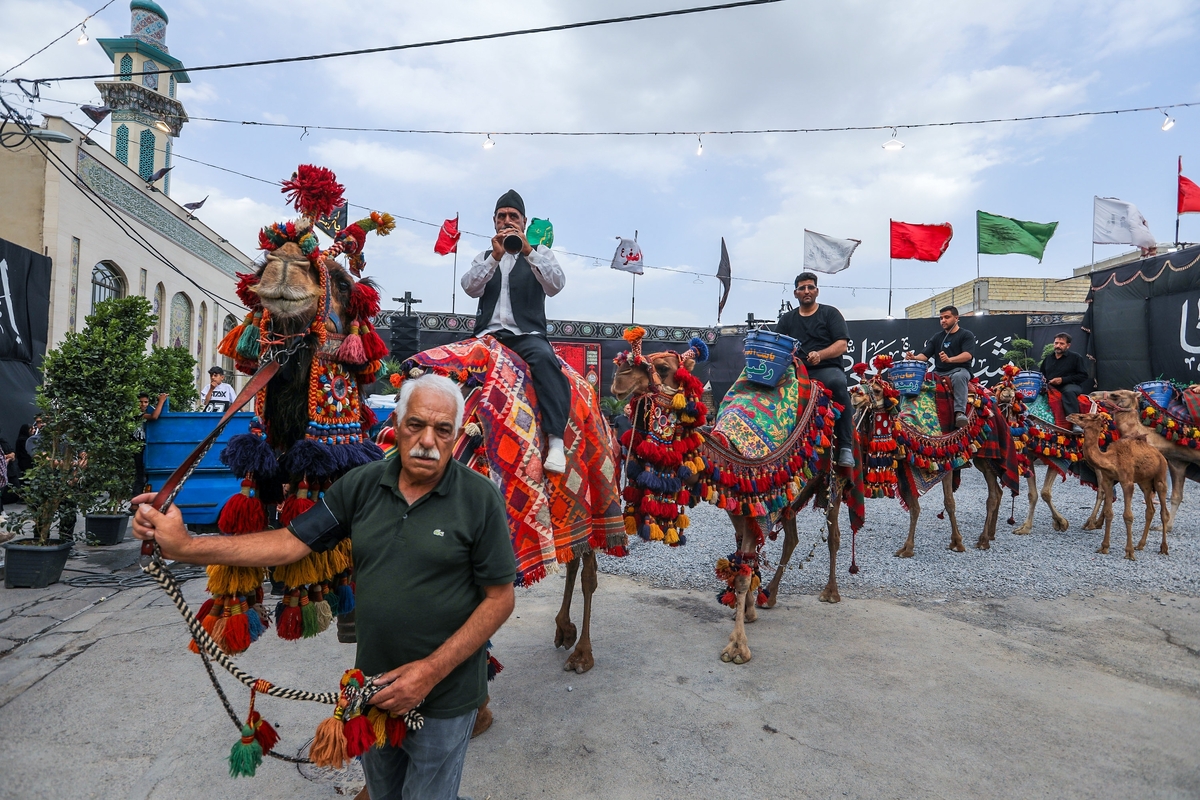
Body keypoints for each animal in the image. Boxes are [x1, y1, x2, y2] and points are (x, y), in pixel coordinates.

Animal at [614, 326, 859, 662]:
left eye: (663, 367)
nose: (618, 378)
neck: (731, 454)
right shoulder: (740, 506)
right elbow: (745, 558)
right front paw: (750, 610)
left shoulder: (757, 506)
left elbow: (743, 573)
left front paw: (737, 645)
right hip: (787, 494)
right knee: (792, 538)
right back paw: (771, 596)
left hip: (834, 480)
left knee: (833, 535)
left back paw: (830, 593)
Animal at [849, 357, 1017, 556]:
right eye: (862, 383)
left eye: (876, 390)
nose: (855, 395)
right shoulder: (905, 468)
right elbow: (914, 507)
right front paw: (907, 548)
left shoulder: (946, 464)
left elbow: (949, 502)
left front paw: (957, 542)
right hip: (981, 460)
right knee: (997, 492)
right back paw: (990, 534)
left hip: (986, 455)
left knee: (993, 495)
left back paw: (983, 540)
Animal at [1065, 412, 1166, 556]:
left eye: (1082, 417)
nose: (1069, 416)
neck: (1112, 459)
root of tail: (1160, 455)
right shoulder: (1108, 480)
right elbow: (1109, 512)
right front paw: (1104, 547)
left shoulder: (1127, 482)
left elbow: (1128, 516)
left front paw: (1129, 552)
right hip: (1145, 482)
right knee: (1150, 510)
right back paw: (1140, 545)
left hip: (1160, 478)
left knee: (1164, 512)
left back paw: (1164, 548)